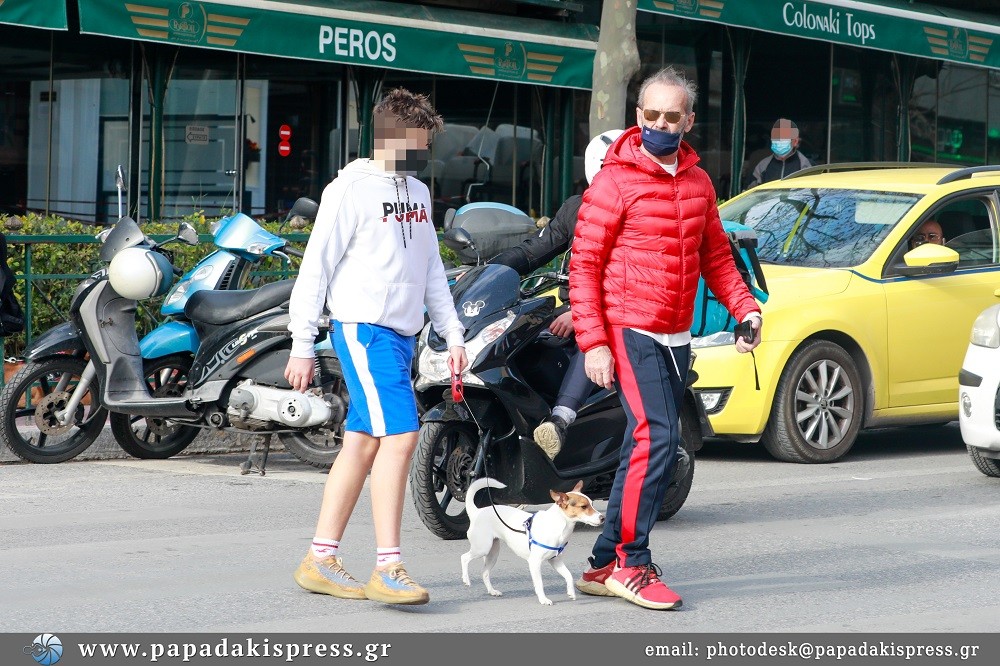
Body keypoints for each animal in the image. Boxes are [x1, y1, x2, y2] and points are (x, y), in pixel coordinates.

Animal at [458, 474, 600, 604]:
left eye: (592, 504)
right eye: (584, 506)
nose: (602, 517)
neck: (558, 524)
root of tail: (476, 512)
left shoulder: (556, 561)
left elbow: (569, 576)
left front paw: (571, 592)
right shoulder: (534, 563)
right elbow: (540, 583)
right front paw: (543, 599)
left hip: (492, 554)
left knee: (485, 573)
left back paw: (492, 591)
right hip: (482, 548)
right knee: (464, 558)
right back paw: (466, 579)